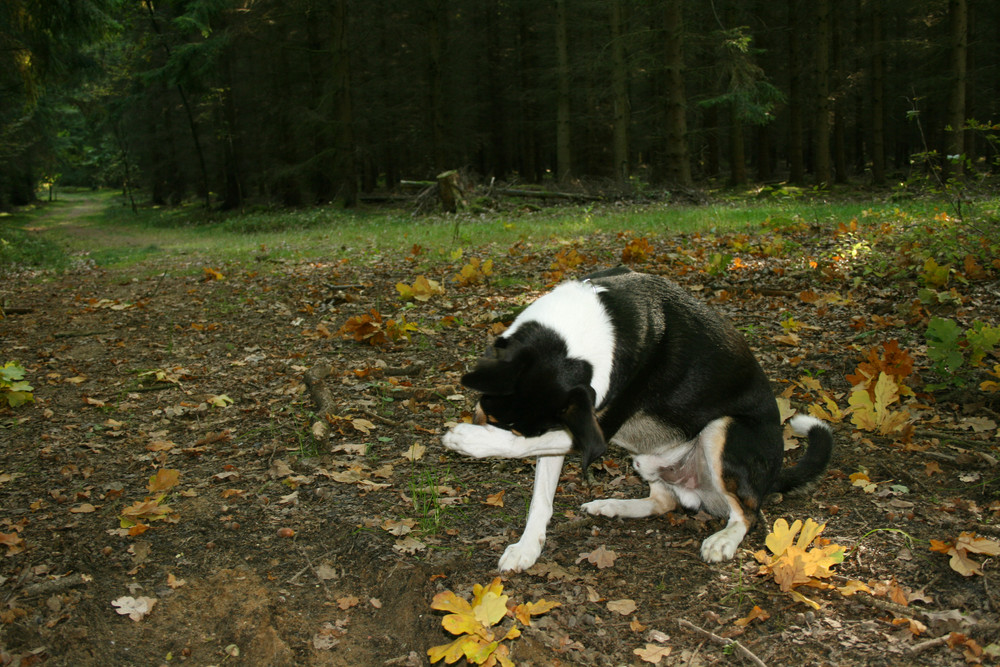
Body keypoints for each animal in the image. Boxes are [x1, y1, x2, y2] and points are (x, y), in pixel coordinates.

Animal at [446, 268, 836, 572]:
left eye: (493, 417)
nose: (477, 421)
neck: (587, 327)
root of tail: (772, 475)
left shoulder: (593, 430)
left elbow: (522, 448)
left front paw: (467, 440)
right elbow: (540, 499)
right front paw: (527, 549)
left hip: (723, 431)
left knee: (750, 513)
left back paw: (724, 539)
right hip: (648, 459)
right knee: (665, 502)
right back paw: (611, 506)